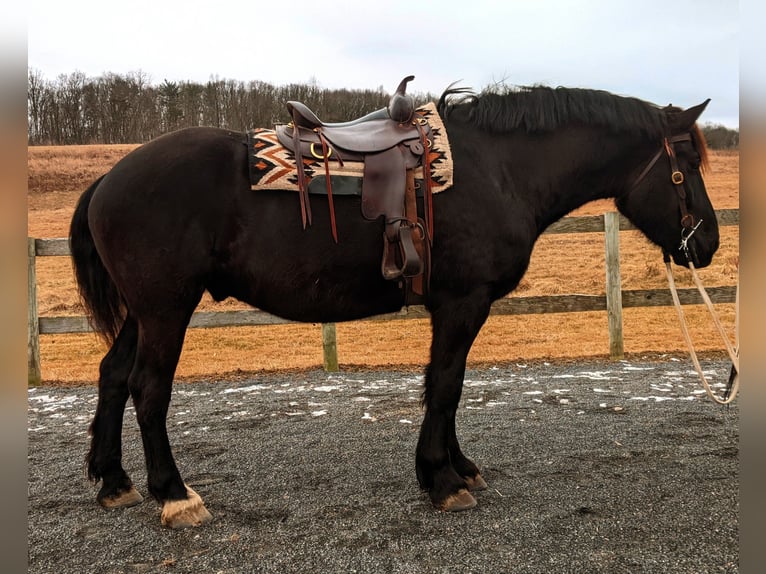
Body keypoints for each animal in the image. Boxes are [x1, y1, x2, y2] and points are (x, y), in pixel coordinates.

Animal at [70, 83, 720, 528]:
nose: (708, 242)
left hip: (144, 313)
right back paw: (175, 495)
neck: (500, 170)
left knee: (112, 376)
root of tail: (108, 179)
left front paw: (457, 466)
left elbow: (442, 382)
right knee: (148, 388)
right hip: (165, 310)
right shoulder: (463, 302)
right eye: (685, 167)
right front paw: (442, 479)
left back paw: (114, 481)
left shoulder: (453, 307)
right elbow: (448, 384)